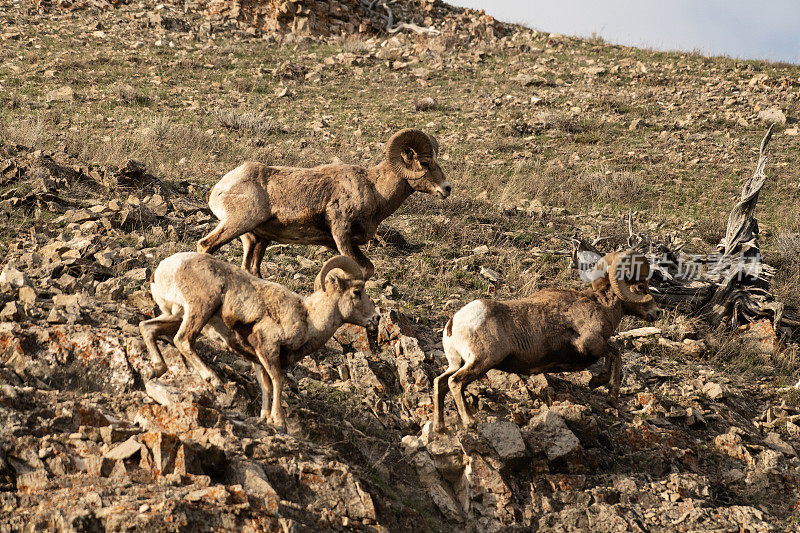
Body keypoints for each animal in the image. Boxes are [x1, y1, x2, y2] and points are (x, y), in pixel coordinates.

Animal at [140, 252, 378, 428]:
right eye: (357, 292)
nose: (375, 318)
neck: (308, 318)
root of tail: (164, 269)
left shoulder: (258, 359)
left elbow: (265, 386)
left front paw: (264, 418)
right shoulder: (268, 347)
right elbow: (277, 381)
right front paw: (279, 421)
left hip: (175, 315)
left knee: (148, 328)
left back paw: (156, 369)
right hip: (200, 309)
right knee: (183, 340)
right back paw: (214, 380)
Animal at [195, 128, 450, 278]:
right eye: (425, 163)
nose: (446, 189)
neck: (374, 188)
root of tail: (218, 188)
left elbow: (367, 269)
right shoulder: (340, 234)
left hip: (256, 239)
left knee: (250, 269)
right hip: (239, 223)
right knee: (206, 245)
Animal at [434, 249, 660, 432]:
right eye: (641, 287)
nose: (656, 312)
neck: (601, 307)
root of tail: (454, 323)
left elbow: (612, 355)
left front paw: (597, 382)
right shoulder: (591, 343)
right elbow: (616, 352)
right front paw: (610, 394)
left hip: (457, 363)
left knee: (440, 382)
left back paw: (439, 428)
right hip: (482, 361)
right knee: (455, 382)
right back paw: (470, 423)